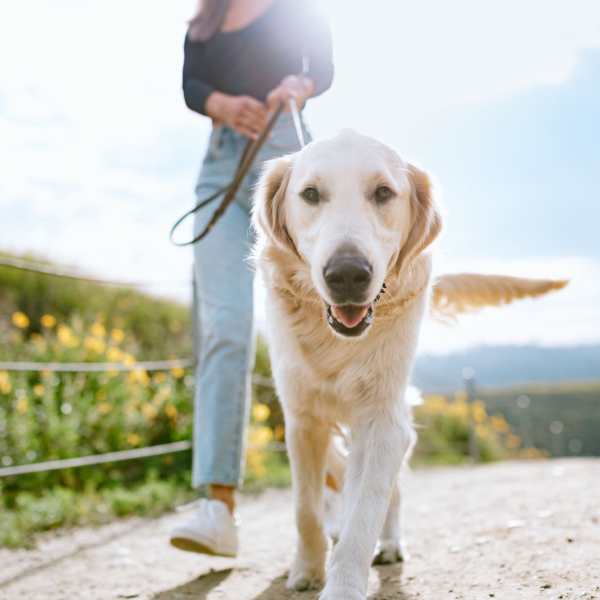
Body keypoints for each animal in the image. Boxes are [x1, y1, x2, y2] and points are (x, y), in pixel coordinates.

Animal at [250, 129, 568, 596]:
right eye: (310, 194)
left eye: (383, 192)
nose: (348, 275)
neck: (337, 342)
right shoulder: (302, 419)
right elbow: (305, 509)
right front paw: (307, 569)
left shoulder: (384, 421)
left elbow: (365, 512)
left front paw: (343, 585)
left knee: (388, 493)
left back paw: (389, 544)